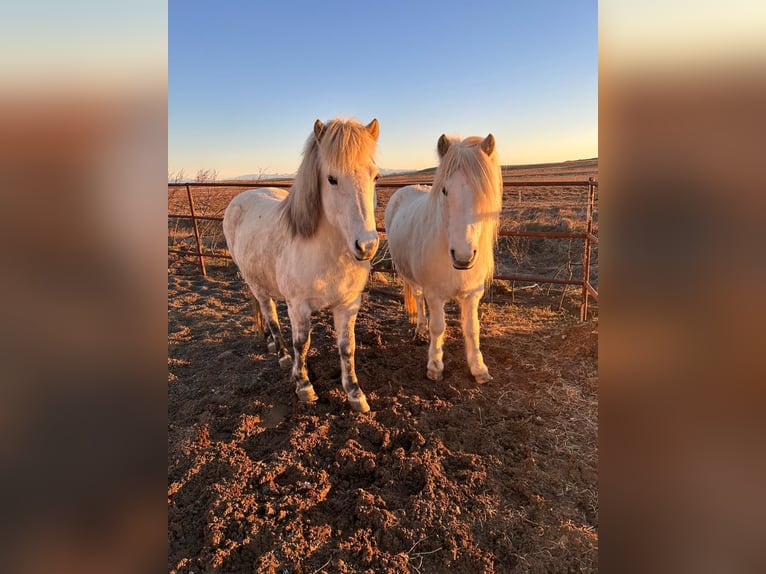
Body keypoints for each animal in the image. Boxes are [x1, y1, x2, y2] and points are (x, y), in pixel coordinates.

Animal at [223, 118, 380, 412]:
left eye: (375, 176)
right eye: (331, 178)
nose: (366, 246)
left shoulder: (348, 305)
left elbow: (347, 347)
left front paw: (355, 393)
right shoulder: (298, 306)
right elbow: (302, 344)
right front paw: (303, 385)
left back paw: (271, 344)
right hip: (256, 284)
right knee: (270, 315)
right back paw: (282, 355)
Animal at [384, 133, 502, 383]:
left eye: (483, 193)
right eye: (445, 191)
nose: (463, 256)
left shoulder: (472, 294)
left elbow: (472, 328)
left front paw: (479, 368)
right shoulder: (434, 294)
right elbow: (437, 326)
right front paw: (435, 366)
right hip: (409, 276)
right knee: (418, 299)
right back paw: (419, 330)